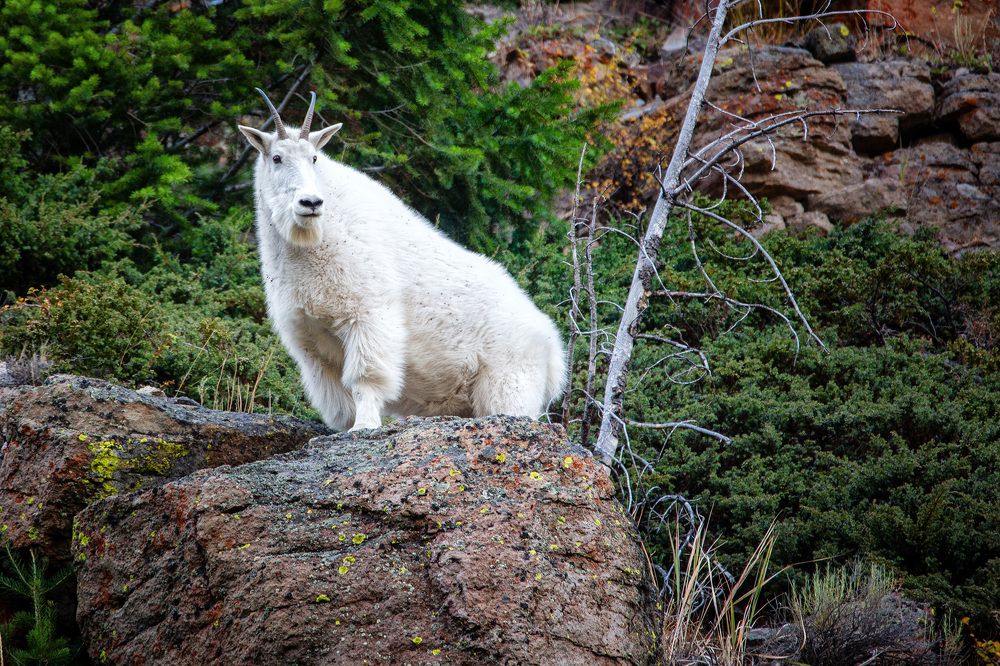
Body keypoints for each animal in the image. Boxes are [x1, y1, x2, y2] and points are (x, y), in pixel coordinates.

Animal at [238, 89, 566, 431]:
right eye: (277, 158)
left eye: (314, 158)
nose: (311, 203)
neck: (313, 241)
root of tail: (553, 351)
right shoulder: (312, 340)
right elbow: (338, 399)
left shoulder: (367, 314)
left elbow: (366, 377)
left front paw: (365, 426)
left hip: (510, 382)